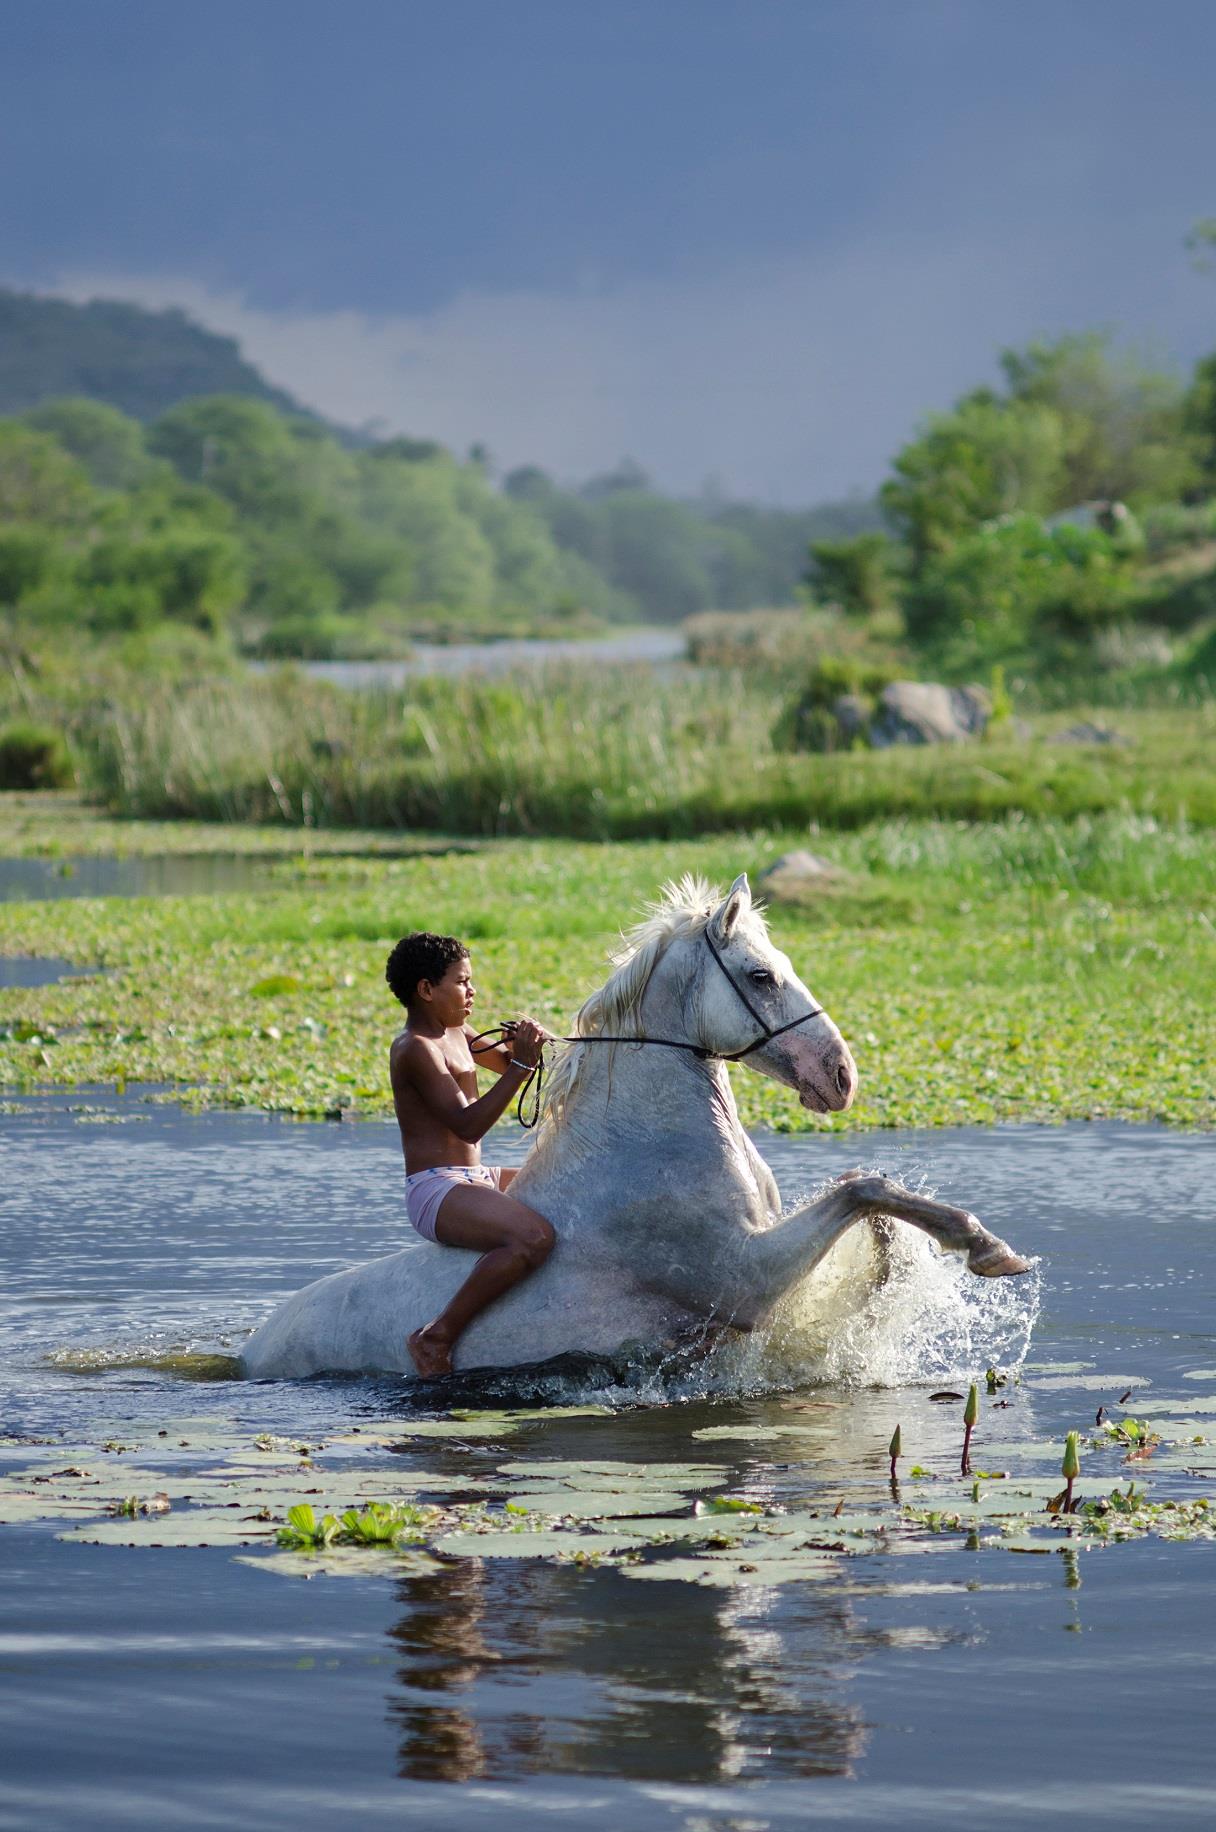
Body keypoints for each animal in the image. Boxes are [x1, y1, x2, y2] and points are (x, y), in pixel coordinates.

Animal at [241, 872, 1032, 1377]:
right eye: (761, 976)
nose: (840, 1075)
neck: (646, 1148)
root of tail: (252, 1347)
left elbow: (869, 1195)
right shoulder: (747, 1278)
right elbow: (864, 1189)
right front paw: (986, 1249)